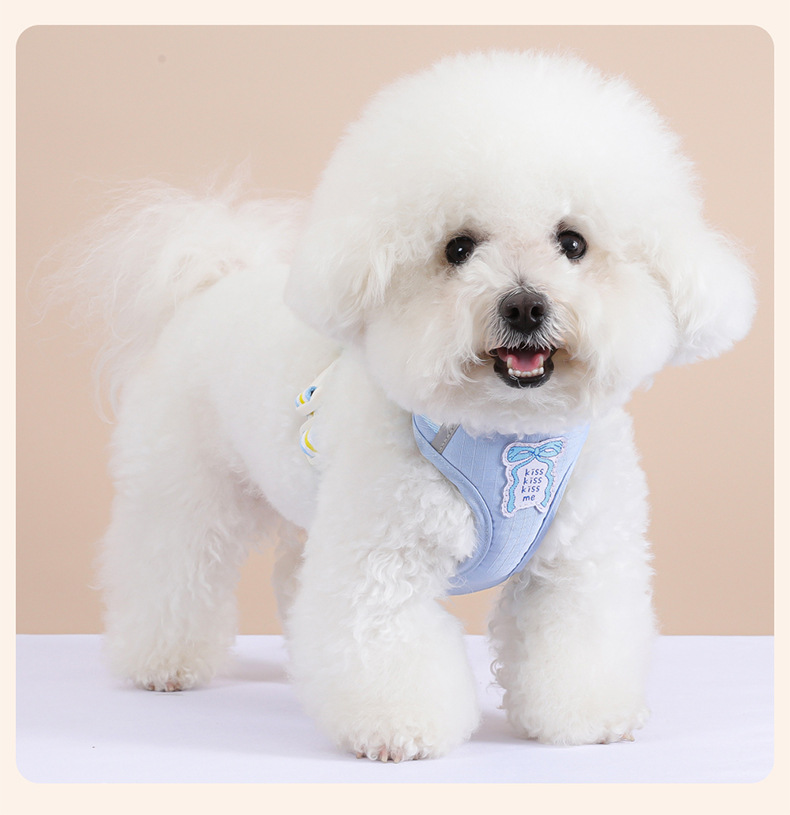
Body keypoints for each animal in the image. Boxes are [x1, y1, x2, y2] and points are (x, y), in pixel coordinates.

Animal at [62, 50, 754, 761]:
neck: (506, 434)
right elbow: (385, 641)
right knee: (169, 566)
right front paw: (399, 728)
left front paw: (587, 718)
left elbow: (575, 637)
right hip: (185, 486)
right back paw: (162, 661)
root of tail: (214, 280)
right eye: (458, 248)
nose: (524, 306)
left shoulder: (575, 562)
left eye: (573, 243)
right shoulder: (383, 552)